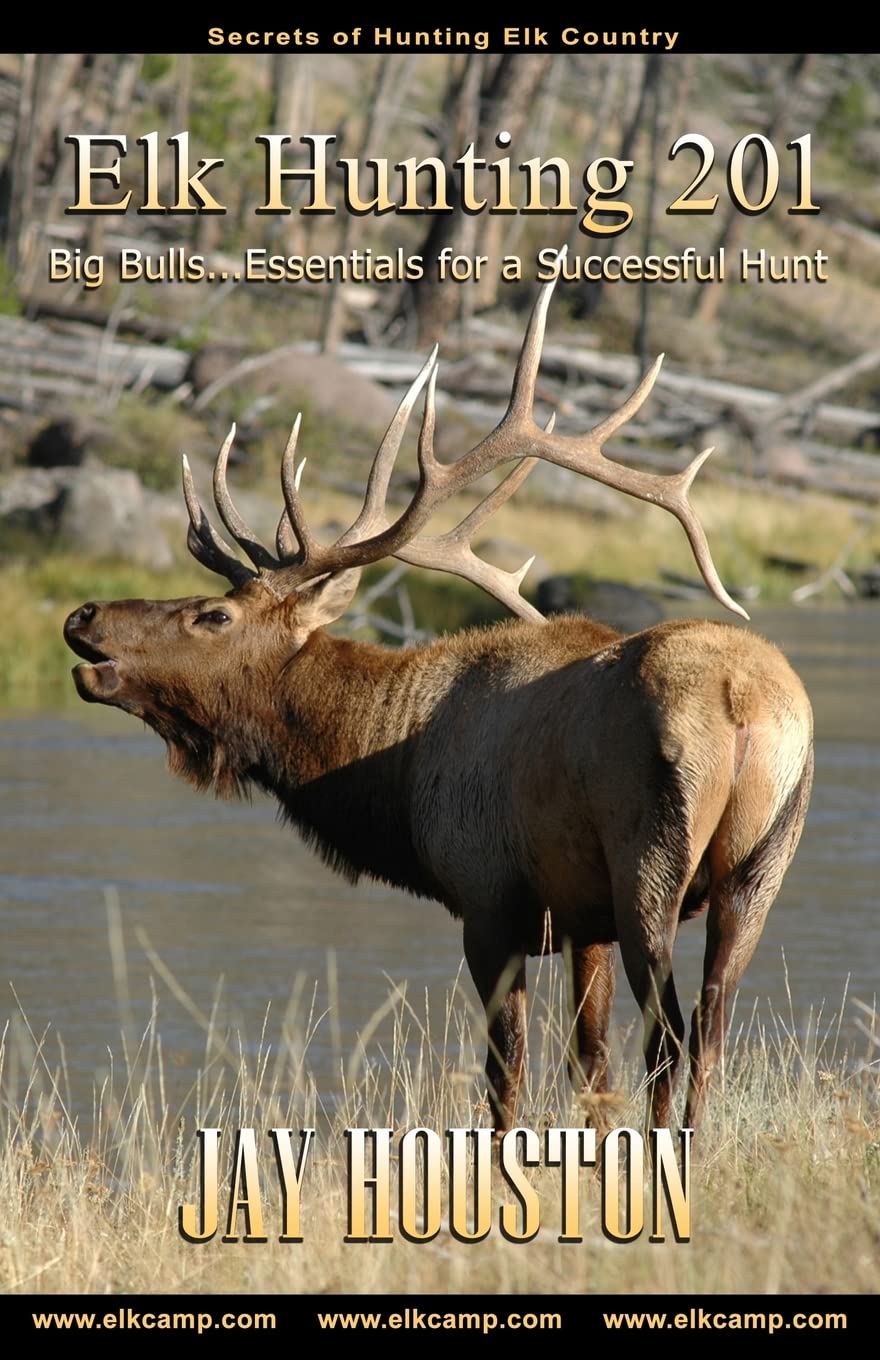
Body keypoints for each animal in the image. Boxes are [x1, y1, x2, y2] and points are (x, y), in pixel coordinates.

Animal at [63, 256, 813, 1135]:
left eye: (213, 614)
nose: (84, 616)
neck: (391, 773)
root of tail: (743, 702)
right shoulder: (579, 917)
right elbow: (589, 1068)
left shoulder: (488, 899)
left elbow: (506, 1076)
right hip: (760, 869)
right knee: (711, 1027)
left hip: (649, 862)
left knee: (670, 1033)